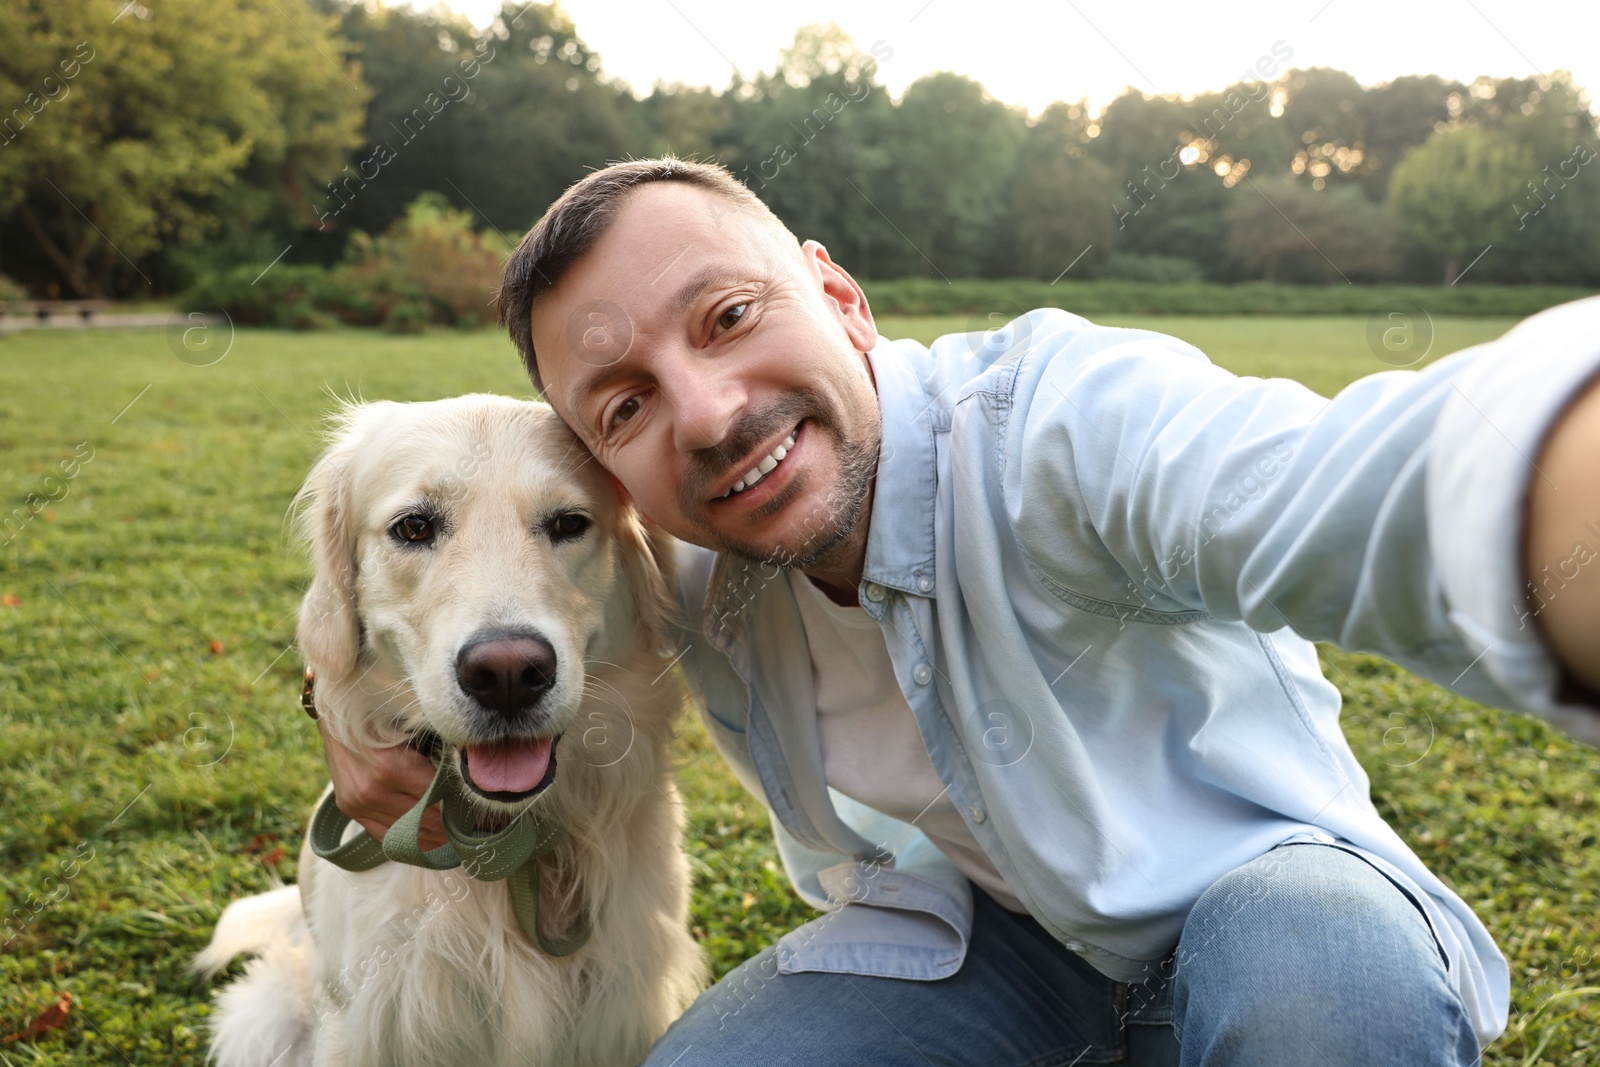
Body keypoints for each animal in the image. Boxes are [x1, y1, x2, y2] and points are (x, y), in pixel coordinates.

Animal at [195, 396, 707, 1062]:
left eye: (570, 523)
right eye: (414, 527)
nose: (508, 674)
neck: (504, 844)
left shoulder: (624, 1006)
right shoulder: (371, 1017)